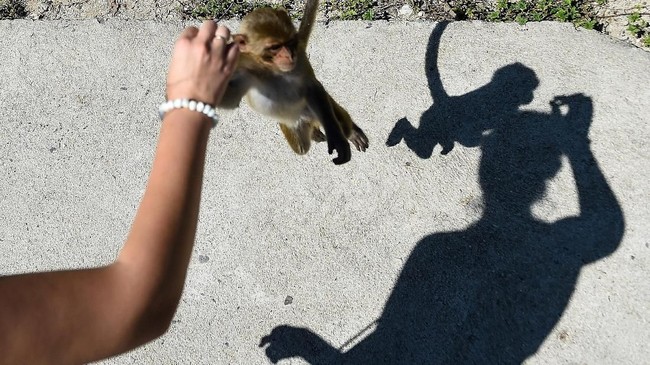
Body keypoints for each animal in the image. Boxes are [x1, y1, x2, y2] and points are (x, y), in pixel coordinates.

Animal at [218, 0, 368, 164]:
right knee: (301, 147)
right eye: (275, 47)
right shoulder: (242, 68)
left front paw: (337, 138)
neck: (271, 69)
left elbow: (312, 88)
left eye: (289, 42)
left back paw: (351, 131)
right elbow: (230, 99)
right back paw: (313, 132)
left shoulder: (300, 59)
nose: (290, 55)